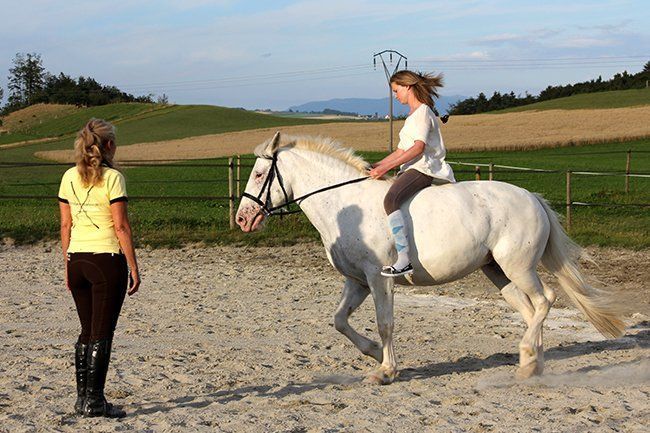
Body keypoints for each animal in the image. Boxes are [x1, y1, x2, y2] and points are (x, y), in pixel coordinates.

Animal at [235, 132, 626, 384]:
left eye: (259, 173)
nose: (242, 219)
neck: (344, 207)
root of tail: (532, 197)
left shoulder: (378, 278)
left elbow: (385, 323)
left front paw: (386, 371)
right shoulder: (357, 281)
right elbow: (339, 321)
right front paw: (373, 352)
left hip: (518, 266)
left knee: (545, 301)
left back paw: (529, 358)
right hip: (497, 271)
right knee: (531, 311)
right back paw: (532, 365)